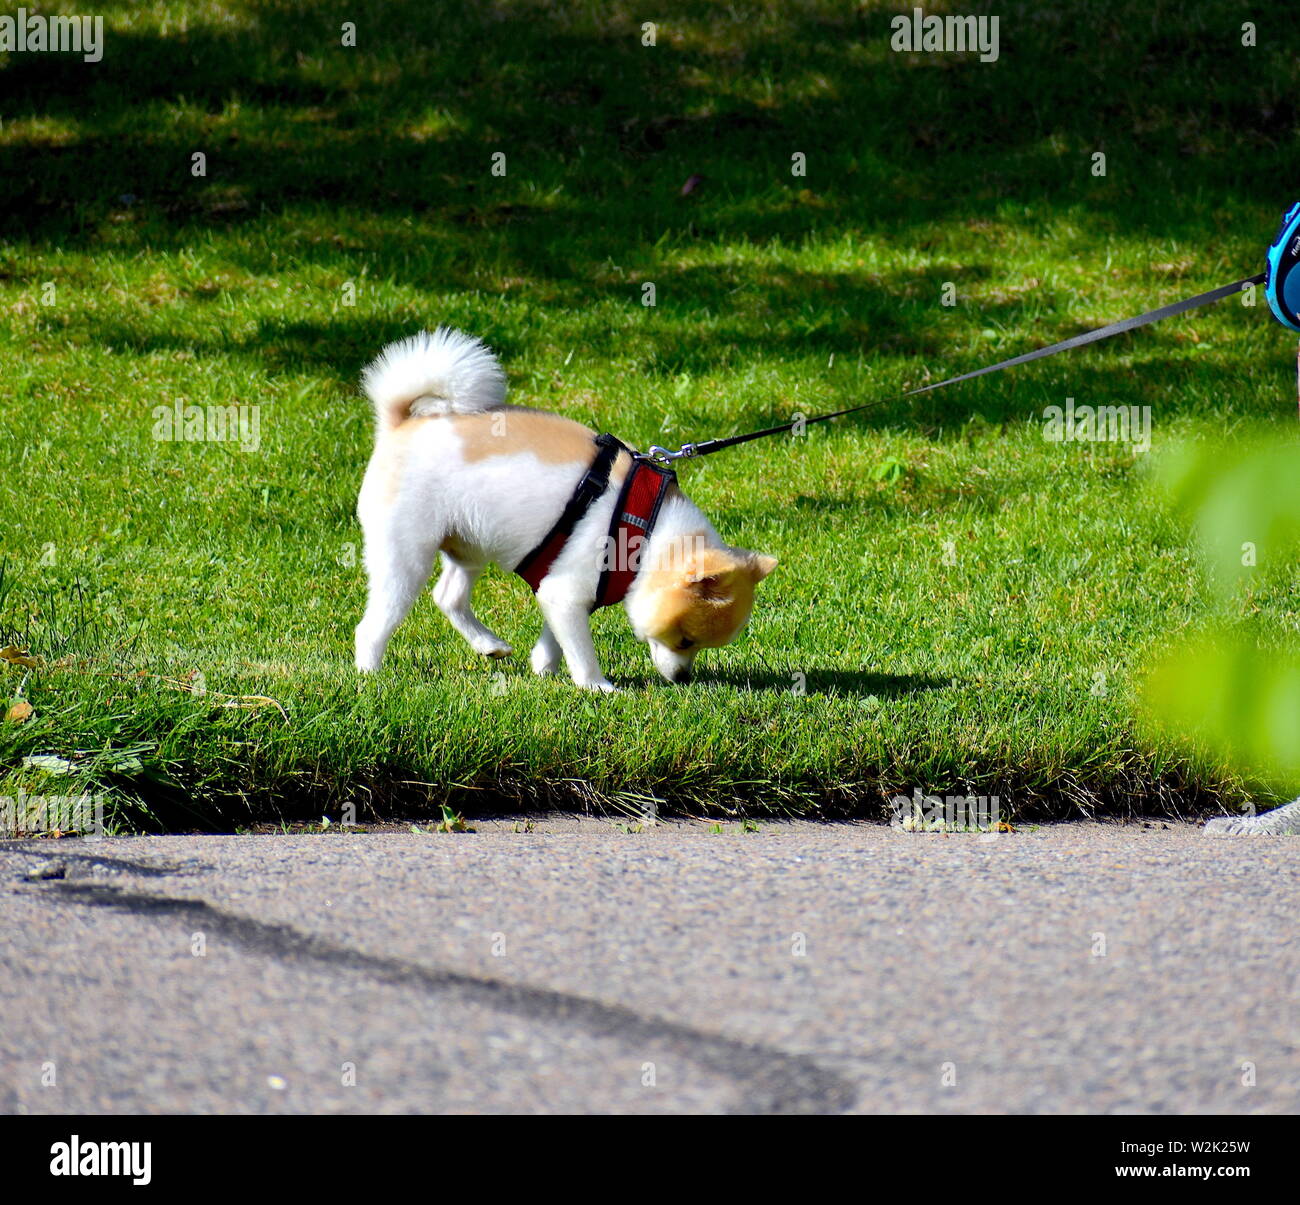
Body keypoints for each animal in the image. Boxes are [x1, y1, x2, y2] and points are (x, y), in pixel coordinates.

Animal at [356, 330, 774, 691]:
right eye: (685, 640)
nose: (682, 679)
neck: (648, 531)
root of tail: (399, 425)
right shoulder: (567, 592)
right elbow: (581, 649)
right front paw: (596, 686)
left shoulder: (559, 590)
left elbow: (555, 637)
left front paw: (545, 667)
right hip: (406, 558)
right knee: (375, 623)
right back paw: (370, 673)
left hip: (468, 547)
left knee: (449, 597)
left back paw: (488, 644)